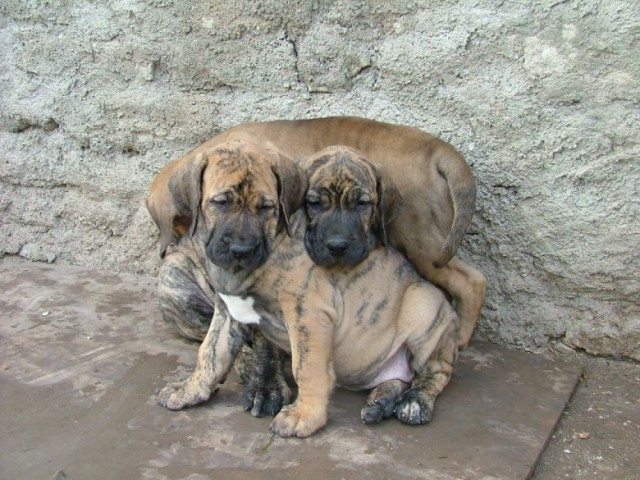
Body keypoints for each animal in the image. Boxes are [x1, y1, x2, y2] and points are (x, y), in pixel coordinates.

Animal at [159, 141, 460, 436]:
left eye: (266, 208)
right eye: (220, 202)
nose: (240, 250)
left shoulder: (308, 316)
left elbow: (306, 369)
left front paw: (304, 415)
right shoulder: (227, 312)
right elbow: (210, 353)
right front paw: (190, 389)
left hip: (423, 307)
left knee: (438, 372)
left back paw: (414, 402)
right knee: (401, 377)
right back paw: (381, 400)